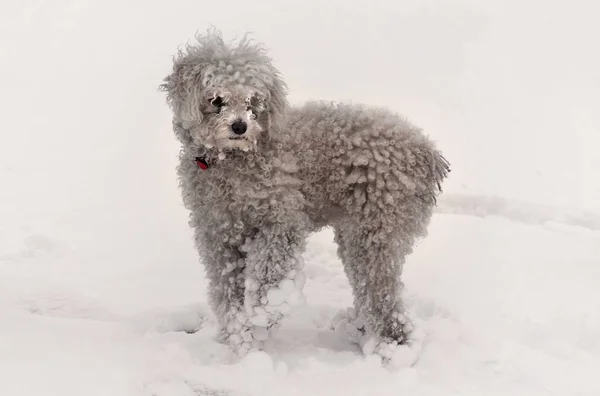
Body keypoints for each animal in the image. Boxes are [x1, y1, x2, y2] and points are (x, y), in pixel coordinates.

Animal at [159, 31, 450, 358]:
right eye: (216, 100)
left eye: (252, 101)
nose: (240, 126)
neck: (231, 159)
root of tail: (425, 151)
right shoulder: (218, 235)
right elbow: (227, 290)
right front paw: (239, 336)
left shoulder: (281, 219)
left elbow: (270, 273)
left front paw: (264, 313)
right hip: (359, 233)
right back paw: (362, 332)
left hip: (376, 231)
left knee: (382, 293)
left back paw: (392, 346)